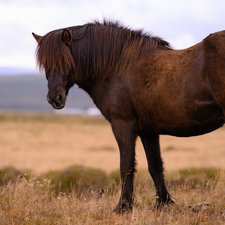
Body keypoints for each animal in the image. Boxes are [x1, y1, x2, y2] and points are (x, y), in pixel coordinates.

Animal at [32, 20, 225, 213]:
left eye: (66, 60)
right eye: (45, 64)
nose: (54, 99)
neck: (117, 67)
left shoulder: (123, 125)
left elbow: (126, 166)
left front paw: (123, 206)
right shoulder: (149, 131)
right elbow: (155, 165)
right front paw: (162, 204)